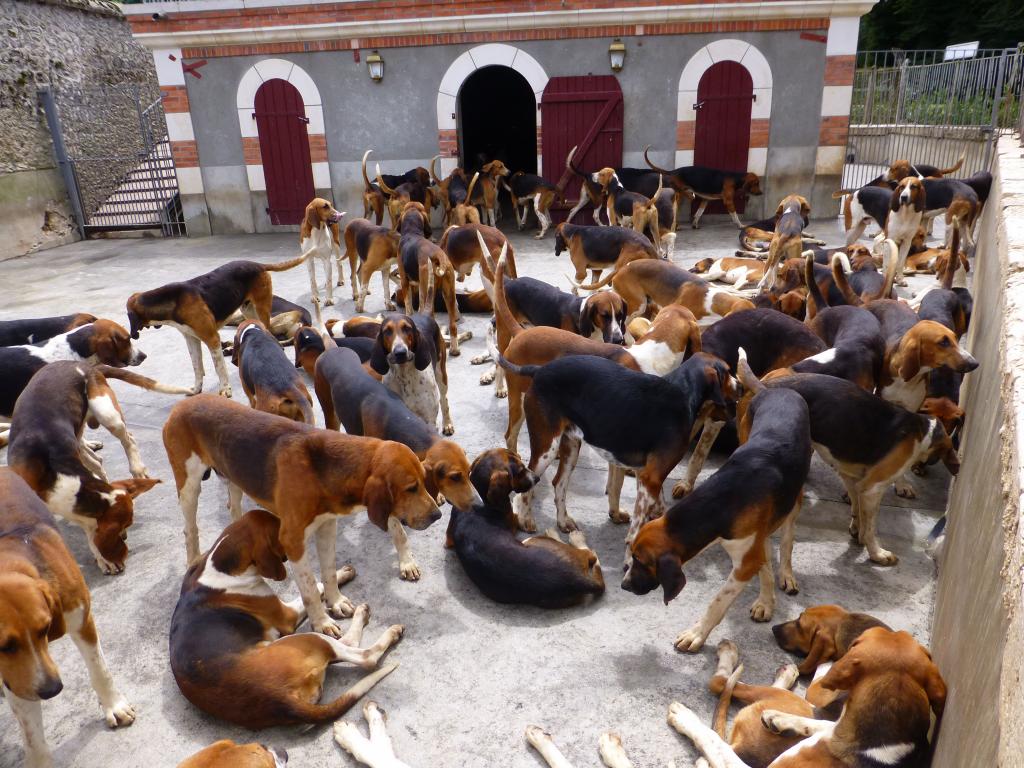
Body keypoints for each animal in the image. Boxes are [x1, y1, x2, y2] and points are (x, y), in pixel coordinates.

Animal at [0, 468, 136, 768]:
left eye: (44, 629)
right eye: (4, 645)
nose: (52, 689)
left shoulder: (81, 619)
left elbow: (100, 670)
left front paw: (115, 706)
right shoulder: (17, 675)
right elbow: (31, 734)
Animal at [163, 397, 440, 638]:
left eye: (424, 480)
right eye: (411, 488)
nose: (437, 515)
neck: (320, 471)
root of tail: (182, 404)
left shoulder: (327, 526)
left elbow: (328, 572)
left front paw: (336, 602)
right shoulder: (293, 541)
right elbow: (309, 589)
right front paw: (322, 622)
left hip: (233, 478)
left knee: (233, 509)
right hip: (189, 486)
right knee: (190, 529)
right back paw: (193, 560)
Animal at [169, 507, 401, 729]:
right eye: (279, 535)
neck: (220, 566)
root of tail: (279, 699)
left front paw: (341, 573)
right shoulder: (287, 615)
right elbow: (313, 589)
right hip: (307, 639)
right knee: (364, 656)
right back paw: (380, 626)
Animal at [444, 448, 602, 610]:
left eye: (521, 458)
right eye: (519, 471)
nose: (537, 478)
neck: (479, 496)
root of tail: (579, 580)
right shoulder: (513, 520)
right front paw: (518, 500)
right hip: (534, 540)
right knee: (589, 553)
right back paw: (570, 536)